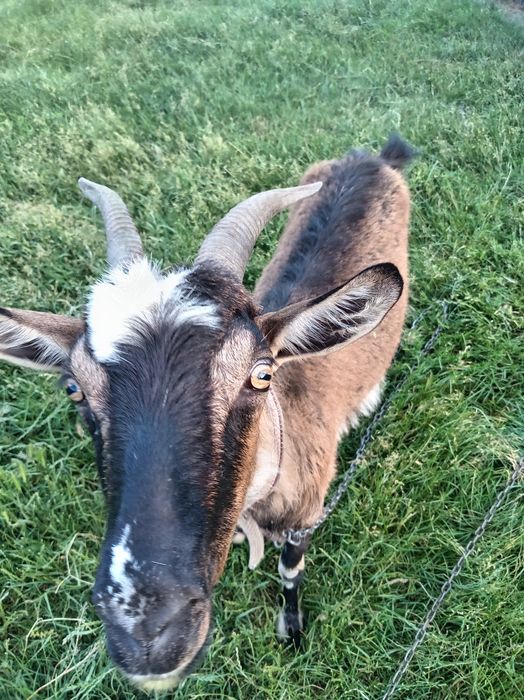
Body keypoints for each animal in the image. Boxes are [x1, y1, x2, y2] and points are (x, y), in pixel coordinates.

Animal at [0, 135, 414, 690]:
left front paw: (291, 629)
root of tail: (375, 158)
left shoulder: (306, 516)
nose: (146, 628)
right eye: (74, 388)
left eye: (260, 375)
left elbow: (290, 571)